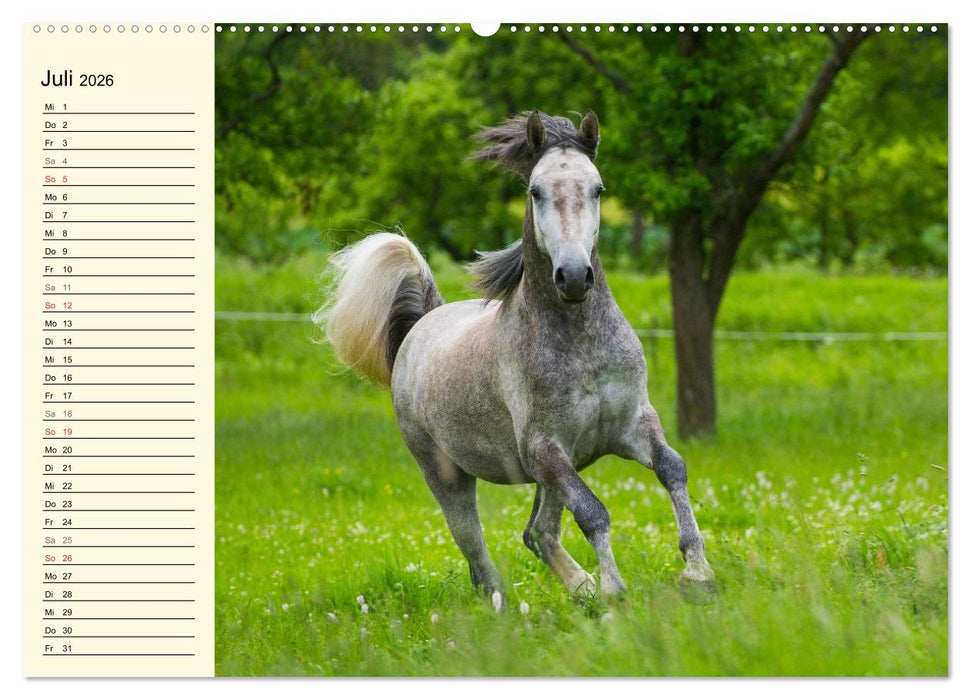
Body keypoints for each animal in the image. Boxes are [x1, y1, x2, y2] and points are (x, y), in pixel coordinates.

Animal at [315, 111, 716, 609]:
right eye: (535, 191)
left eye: (598, 188)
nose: (574, 276)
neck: (581, 346)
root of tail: (422, 325)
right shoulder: (544, 449)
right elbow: (593, 513)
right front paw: (615, 593)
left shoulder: (632, 425)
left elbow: (672, 469)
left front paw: (698, 574)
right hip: (448, 475)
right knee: (479, 558)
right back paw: (514, 609)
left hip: (555, 471)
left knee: (537, 533)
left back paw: (581, 590)